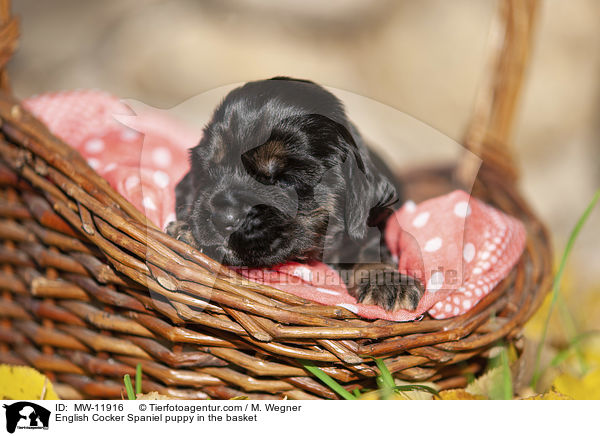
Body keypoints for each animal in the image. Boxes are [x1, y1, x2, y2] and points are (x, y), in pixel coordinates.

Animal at [166, 77, 424, 310]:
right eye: (208, 169)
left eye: (285, 179)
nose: (223, 218)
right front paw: (187, 230)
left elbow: (369, 249)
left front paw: (388, 281)